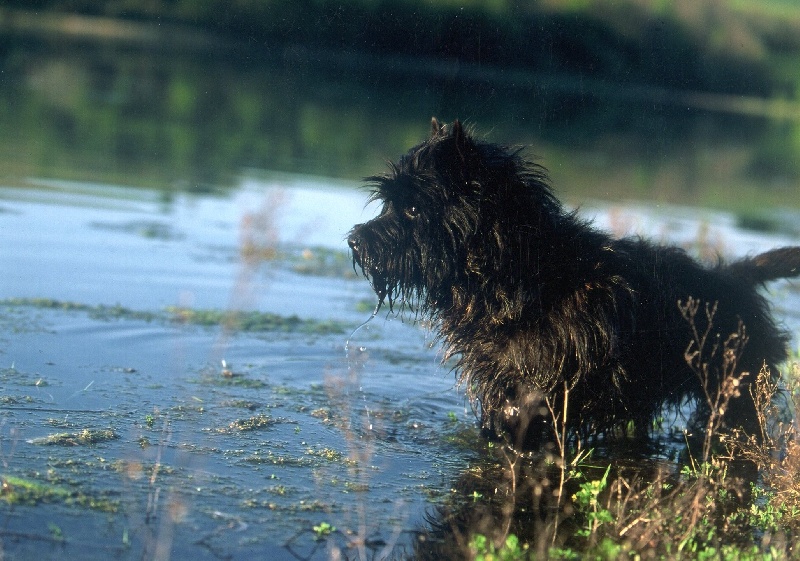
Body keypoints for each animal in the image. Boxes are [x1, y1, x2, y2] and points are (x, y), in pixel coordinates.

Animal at [348, 119, 800, 450]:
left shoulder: (545, 392)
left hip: (735, 397)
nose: (355, 240)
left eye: (411, 209)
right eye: (389, 203)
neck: (523, 277)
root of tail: (735, 276)